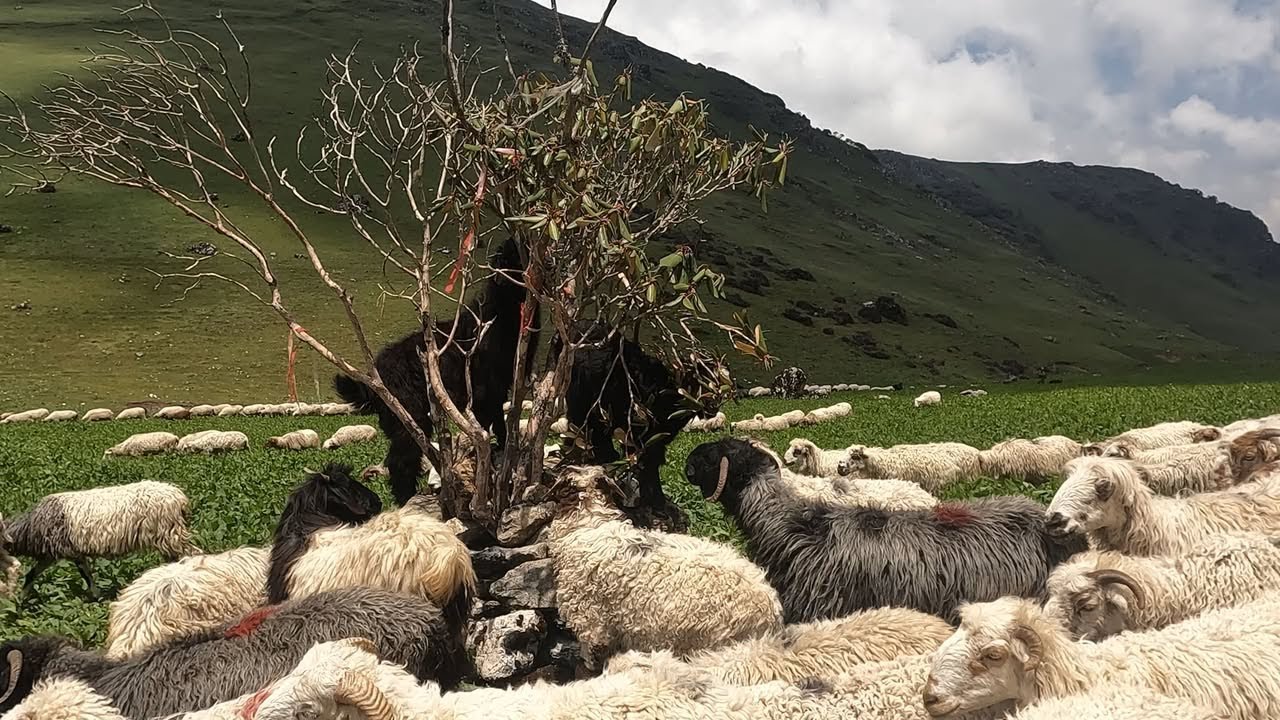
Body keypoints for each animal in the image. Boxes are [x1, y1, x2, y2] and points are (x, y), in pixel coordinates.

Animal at [1, 481, 199, 599]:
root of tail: (180, 497)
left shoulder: (68, 551)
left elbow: (86, 575)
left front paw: (96, 596)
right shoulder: (53, 554)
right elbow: (32, 574)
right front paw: (21, 598)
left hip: (170, 533)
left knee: (192, 554)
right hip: (167, 536)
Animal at [333, 238, 534, 505]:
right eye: (511, 258)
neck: (501, 311)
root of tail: (376, 379)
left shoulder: (498, 389)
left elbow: (499, 425)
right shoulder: (484, 390)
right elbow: (486, 427)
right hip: (409, 418)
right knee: (400, 463)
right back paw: (406, 499)